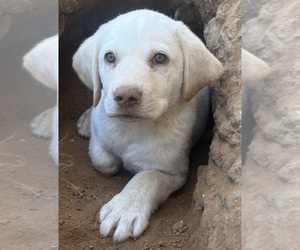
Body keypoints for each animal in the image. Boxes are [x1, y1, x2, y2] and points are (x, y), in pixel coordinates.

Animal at [72, 9, 223, 242]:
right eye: (109, 57)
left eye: (160, 58)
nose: (125, 96)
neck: (133, 129)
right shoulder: (102, 132)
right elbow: (103, 161)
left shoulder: (172, 172)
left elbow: (146, 177)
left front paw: (124, 209)